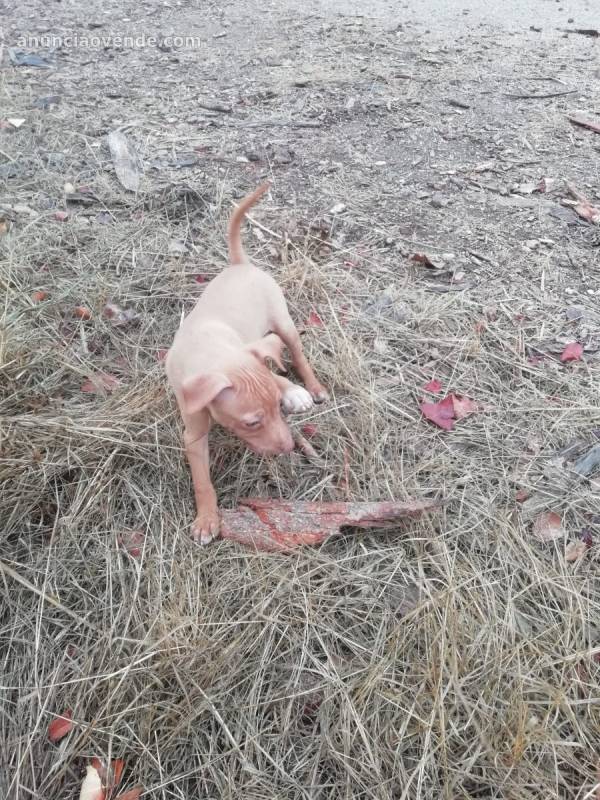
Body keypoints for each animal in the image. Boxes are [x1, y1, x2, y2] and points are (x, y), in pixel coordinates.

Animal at [165, 183, 328, 544]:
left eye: (278, 408)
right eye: (252, 422)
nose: (288, 447)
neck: (208, 347)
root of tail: (241, 264)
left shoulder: (249, 353)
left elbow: (275, 374)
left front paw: (293, 393)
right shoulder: (192, 432)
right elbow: (202, 480)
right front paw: (207, 518)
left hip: (283, 322)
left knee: (296, 353)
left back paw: (311, 386)